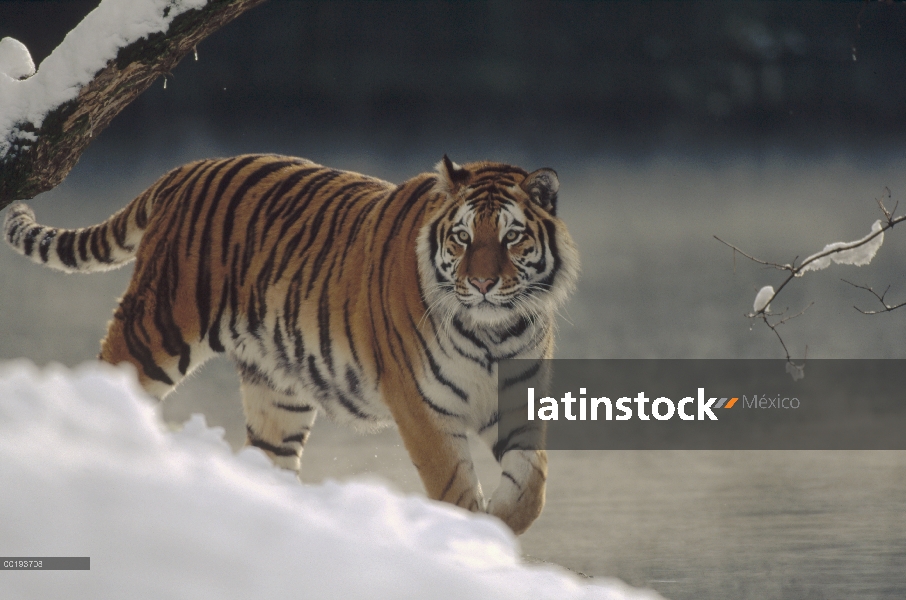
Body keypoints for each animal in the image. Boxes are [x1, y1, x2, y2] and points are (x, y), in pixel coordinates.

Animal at [1, 155, 580, 536]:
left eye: (510, 237)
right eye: (462, 238)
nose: (481, 284)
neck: (494, 331)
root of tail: (185, 170)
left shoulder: (519, 400)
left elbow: (533, 482)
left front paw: (501, 523)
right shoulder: (423, 411)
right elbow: (454, 489)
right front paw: (474, 537)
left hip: (277, 390)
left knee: (270, 459)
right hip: (156, 329)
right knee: (107, 375)